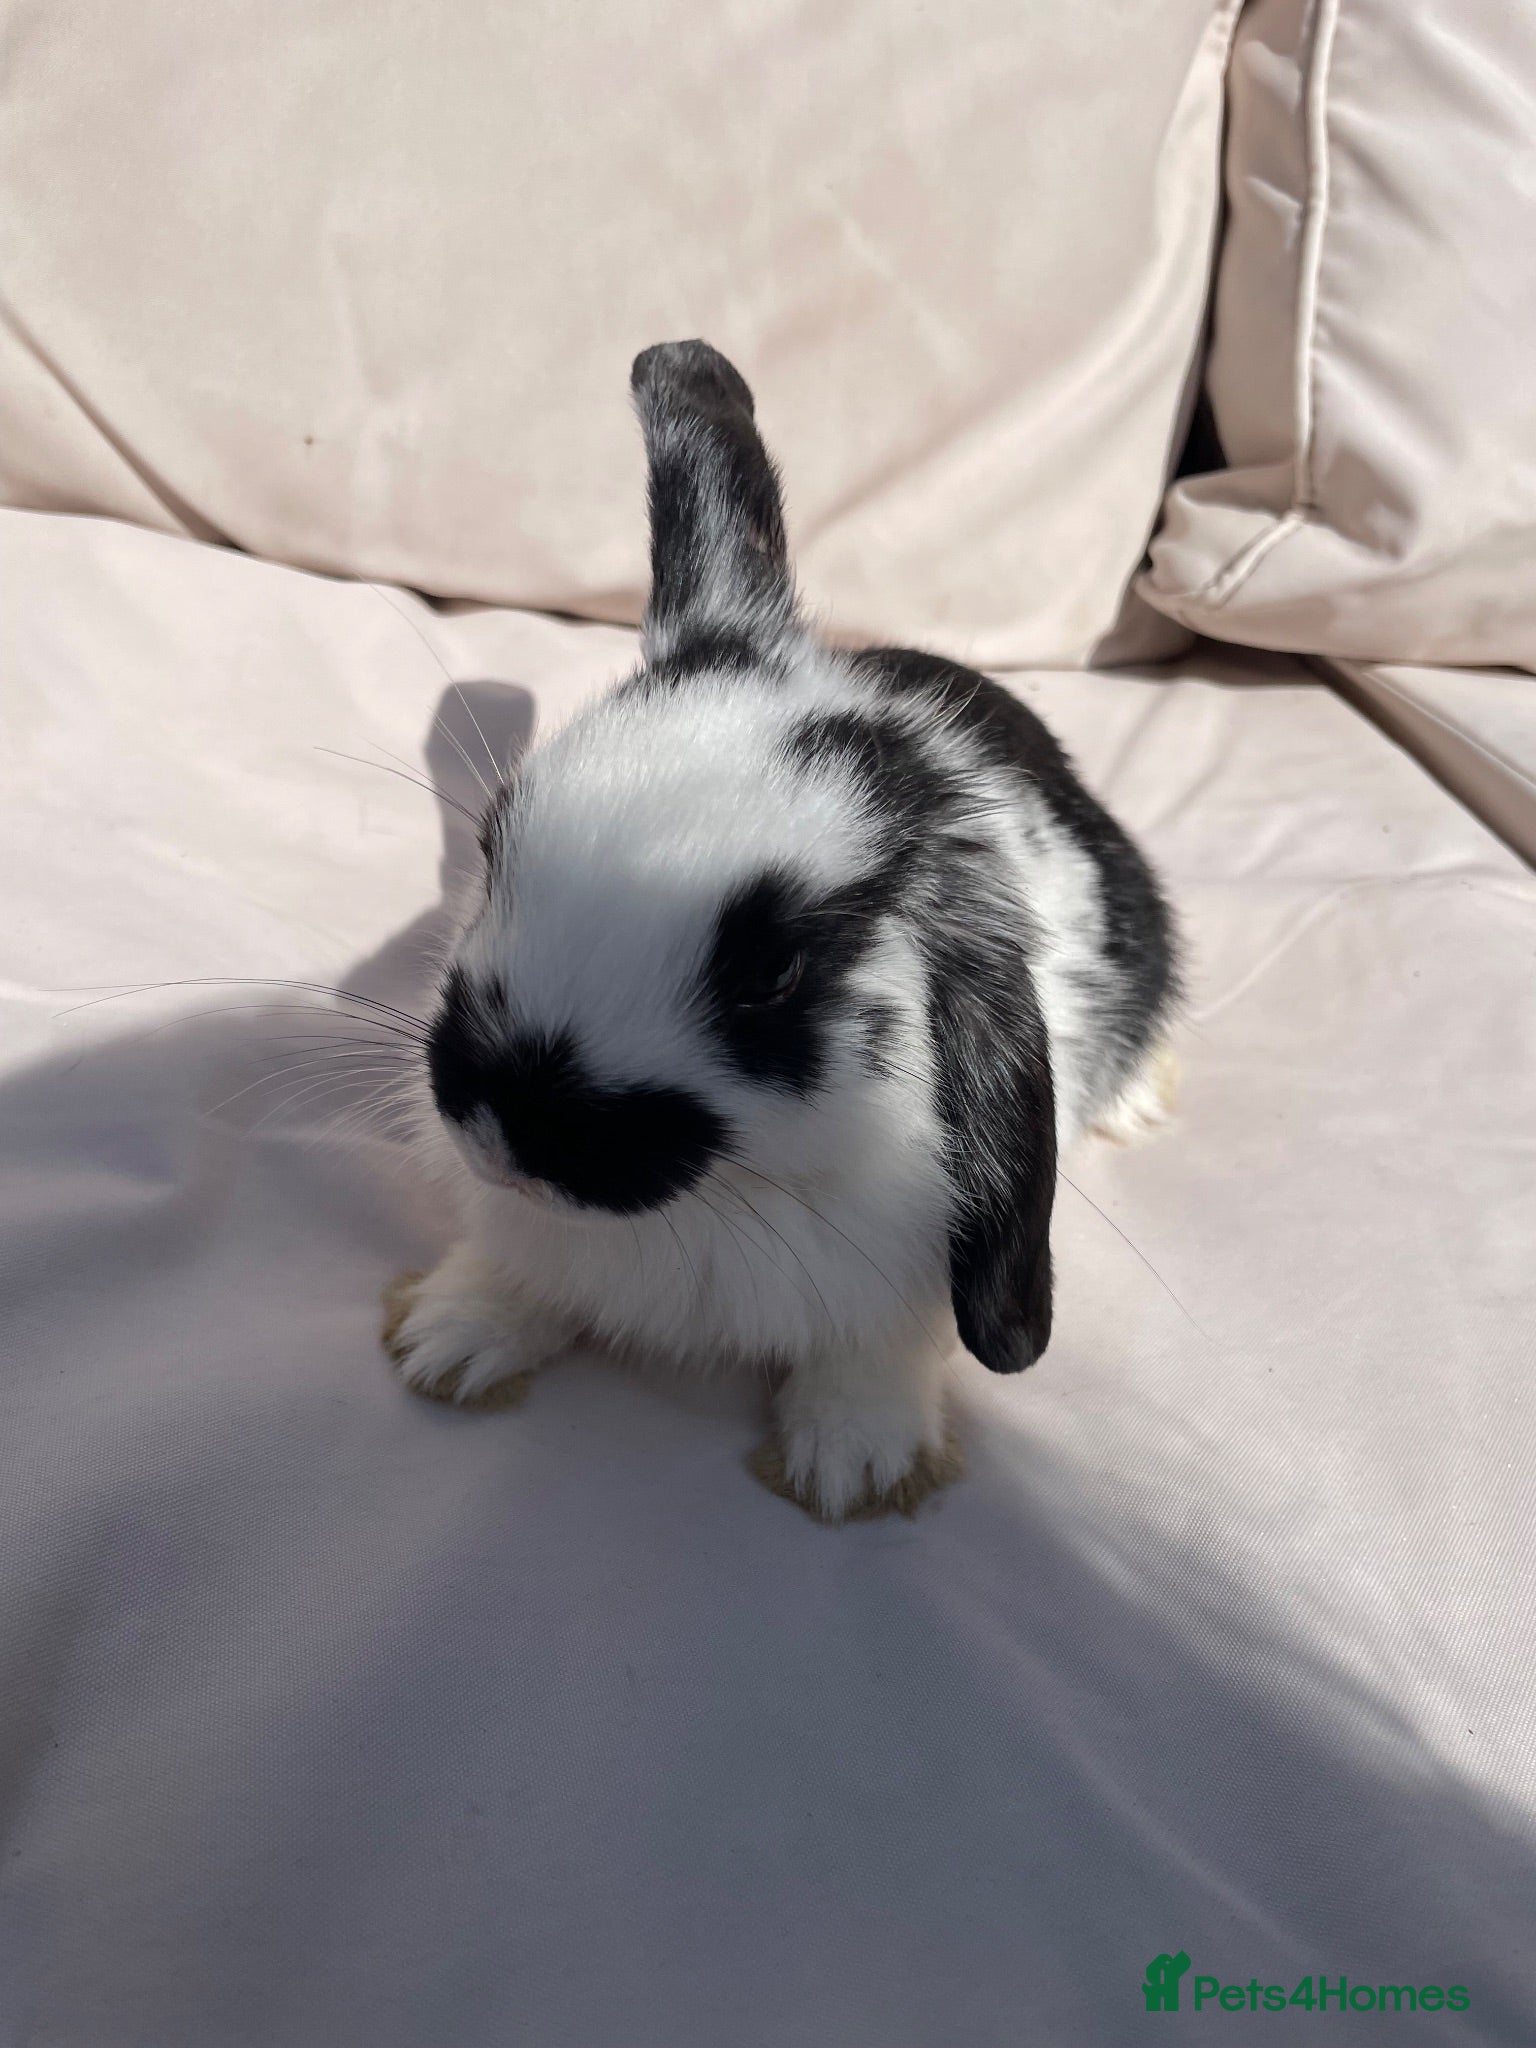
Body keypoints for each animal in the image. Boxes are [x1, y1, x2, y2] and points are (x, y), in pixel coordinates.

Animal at [383, 339, 1178, 1523]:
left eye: (773, 970)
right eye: (493, 847)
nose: (510, 1127)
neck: (730, 1189)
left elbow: (883, 1344)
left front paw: (853, 1462)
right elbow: (514, 1280)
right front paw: (448, 1339)